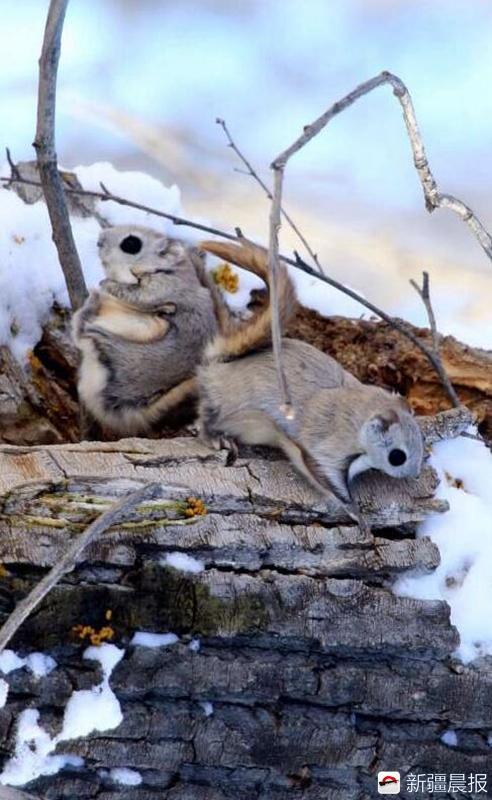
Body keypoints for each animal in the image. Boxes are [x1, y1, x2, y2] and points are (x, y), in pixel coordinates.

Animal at [72, 225, 227, 438]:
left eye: (131, 243)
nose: (99, 241)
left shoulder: (162, 286)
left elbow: (135, 294)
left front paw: (106, 284)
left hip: (143, 329)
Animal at [196, 238, 422, 516]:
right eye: (397, 456)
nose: (414, 474)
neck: (359, 412)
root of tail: (218, 364)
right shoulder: (325, 447)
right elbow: (327, 479)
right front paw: (356, 516)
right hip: (227, 406)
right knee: (206, 416)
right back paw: (215, 437)